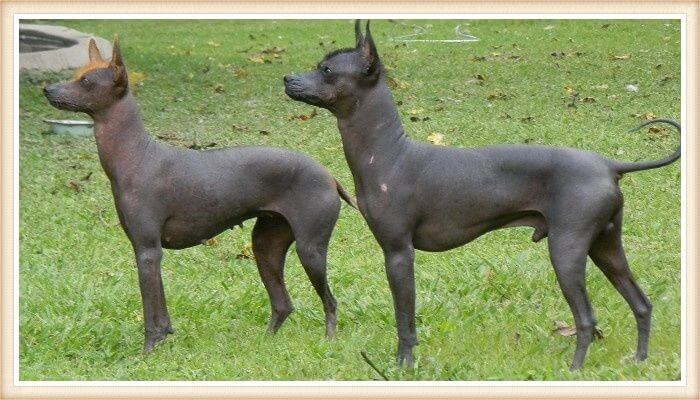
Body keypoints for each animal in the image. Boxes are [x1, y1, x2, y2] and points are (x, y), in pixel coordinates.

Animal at [45, 37, 356, 354]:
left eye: (85, 82)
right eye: (76, 75)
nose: (48, 90)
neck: (136, 154)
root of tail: (329, 176)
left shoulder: (147, 251)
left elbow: (151, 315)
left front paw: (148, 352)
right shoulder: (150, 253)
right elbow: (162, 312)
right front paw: (164, 338)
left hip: (310, 250)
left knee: (330, 301)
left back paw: (329, 341)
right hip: (265, 246)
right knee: (283, 305)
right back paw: (264, 343)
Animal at [284, 20, 680, 370]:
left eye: (327, 69)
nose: (287, 78)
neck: (389, 153)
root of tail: (608, 165)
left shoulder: (398, 254)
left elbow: (404, 319)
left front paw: (403, 365)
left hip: (567, 250)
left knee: (586, 318)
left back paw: (575, 370)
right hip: (605, 246)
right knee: (642, 304)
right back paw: (638, 360)